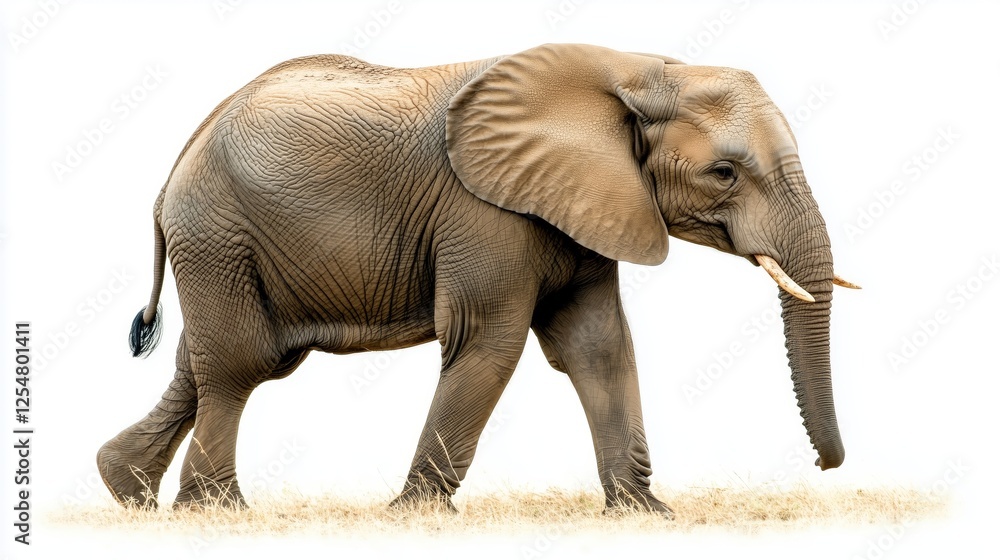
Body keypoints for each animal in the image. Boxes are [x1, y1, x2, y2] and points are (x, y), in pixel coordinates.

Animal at [97, 43, 857, 515]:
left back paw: (128, 492)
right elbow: (489, 344)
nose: (828, 468)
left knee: (212, 360)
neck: (637, 70)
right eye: (724, 173)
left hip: (227, 247)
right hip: (218, 233)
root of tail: (174, 168)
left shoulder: (584, 205)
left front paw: (646, 513)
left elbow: (599, 346)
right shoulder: (483, 212)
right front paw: (412, 515)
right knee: (238, 364)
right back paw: (215, 509)